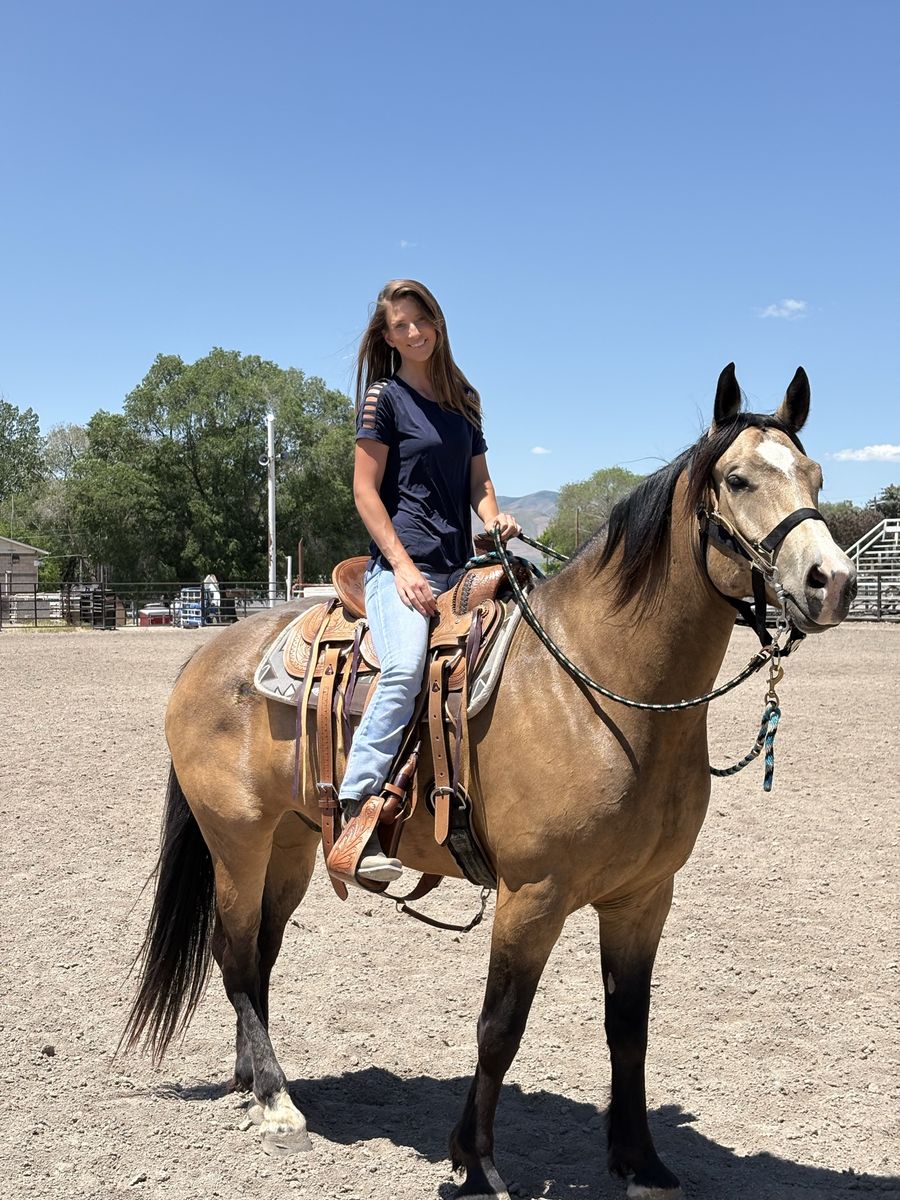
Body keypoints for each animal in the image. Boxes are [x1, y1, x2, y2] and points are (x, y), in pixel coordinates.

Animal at [123, 364, 856, 1199]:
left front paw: (640, 1160)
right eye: (737, 479)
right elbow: (499, 1027)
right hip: (236, 842)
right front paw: (474, 1162)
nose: (834, 581)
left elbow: (628, 1027)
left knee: (255, 953)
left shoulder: (644, 896)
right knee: (235, 952)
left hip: (289, 846)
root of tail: (206, 655)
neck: (597, 687)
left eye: (816, 475)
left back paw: (254, 1079)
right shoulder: (532, 894)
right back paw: (277, 1102)